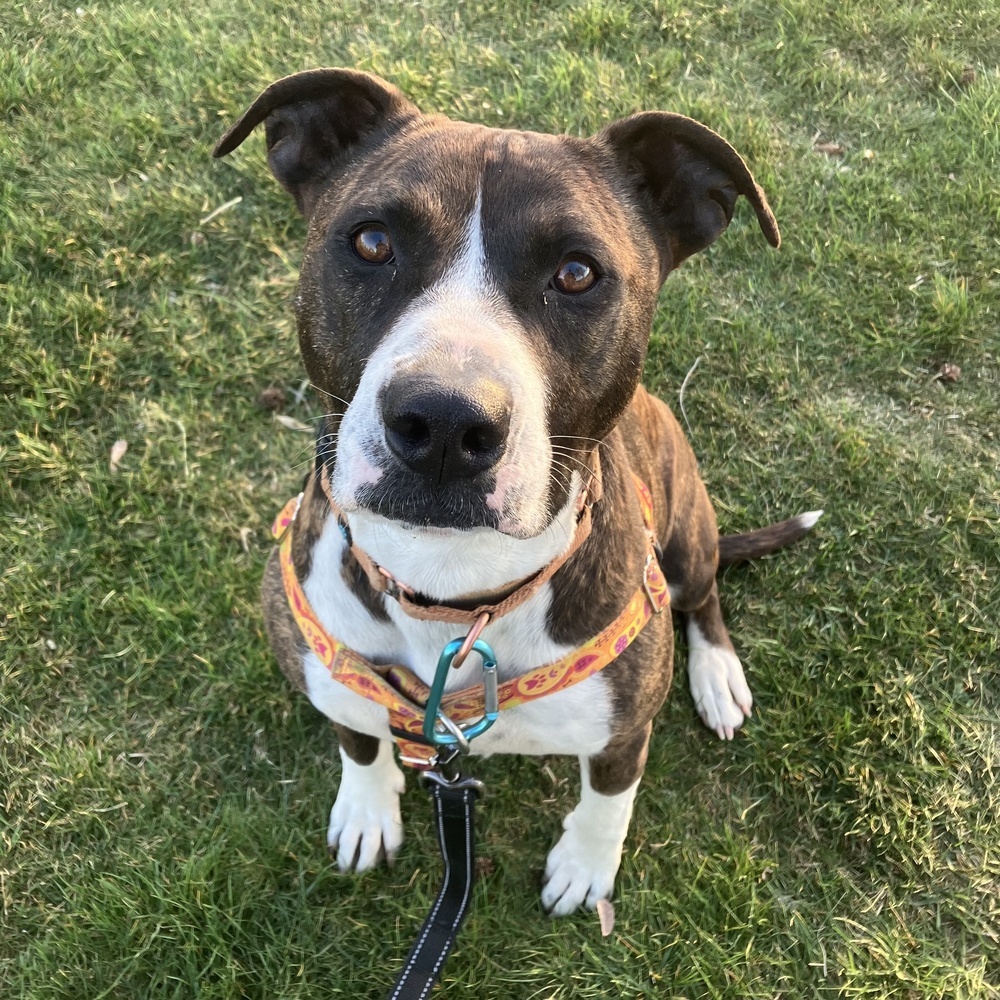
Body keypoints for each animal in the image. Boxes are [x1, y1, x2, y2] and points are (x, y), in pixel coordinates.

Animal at [213, 68, 820, 916]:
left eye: (577, 272)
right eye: (371, 242)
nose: (442, 421)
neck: (452, 589)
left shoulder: (623, 732)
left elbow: (608, 800)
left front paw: (586, 867)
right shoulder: (334, 675)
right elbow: (359, 740)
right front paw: (367, 810)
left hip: (688, 526)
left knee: (702, 596)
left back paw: (717, 675)